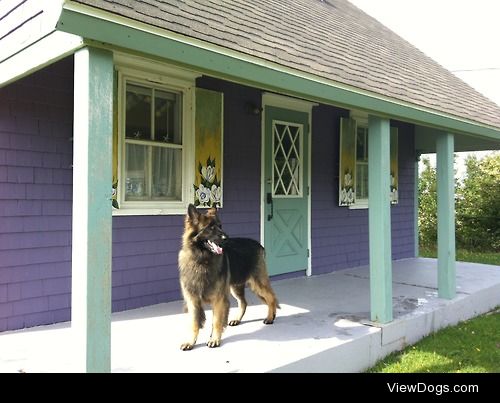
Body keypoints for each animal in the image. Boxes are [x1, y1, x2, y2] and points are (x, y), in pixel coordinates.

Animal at [178, 205, 280, 350]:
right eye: (210, 228)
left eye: (220, 226)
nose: (226, 238)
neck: (202, 260)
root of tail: (259, 244)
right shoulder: (193, 300)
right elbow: (194, 323)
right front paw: (190, 342)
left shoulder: (219, 299)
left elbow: (216, 321)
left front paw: (214, 339)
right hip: (235, 287)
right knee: (244, 302)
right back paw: (237, 319)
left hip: (257, 283)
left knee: (271, 297)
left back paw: (270, 317)